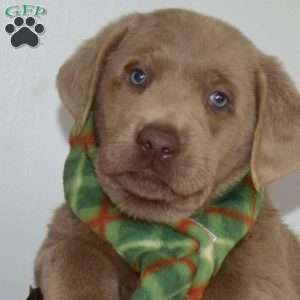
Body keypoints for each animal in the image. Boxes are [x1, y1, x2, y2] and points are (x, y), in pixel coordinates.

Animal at [35, 8, 300, 298]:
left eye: (219, 98)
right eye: (137, 75)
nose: (157, 141)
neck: (154, 237)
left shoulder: (263, 270)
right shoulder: (64, 236)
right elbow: (76, 259)